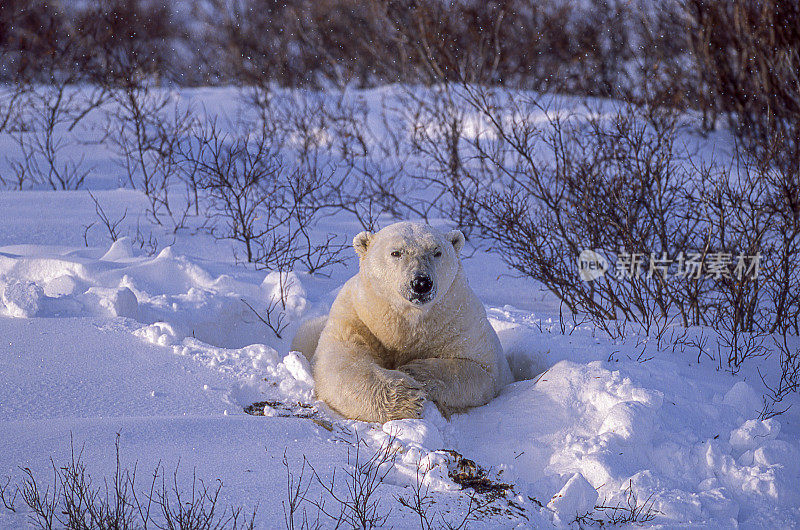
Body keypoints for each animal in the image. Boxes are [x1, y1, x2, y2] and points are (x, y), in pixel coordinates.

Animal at [290, 221, 510, 422]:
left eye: (437, 252)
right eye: (396, 253)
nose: (421, 283)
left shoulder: (459, 320)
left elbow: (480, 369)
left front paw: (414, 371)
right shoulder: (357, 317)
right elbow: (342, 363)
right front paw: (408, 397)